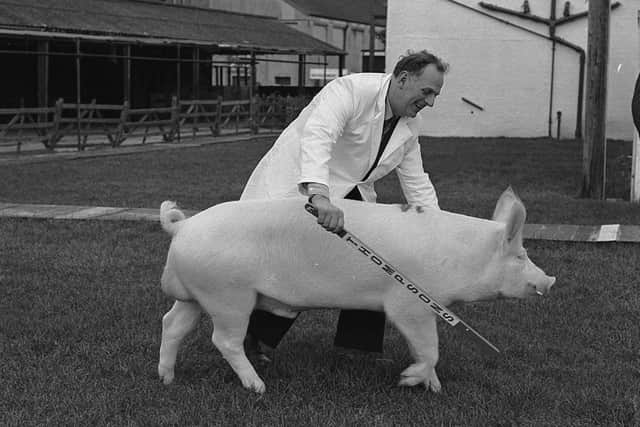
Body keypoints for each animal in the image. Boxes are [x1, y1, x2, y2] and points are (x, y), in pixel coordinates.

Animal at [156, 187, 556, 394]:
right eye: (521, 255)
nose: (549, 280)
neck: (459, 258)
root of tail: (183, 227)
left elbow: (421, 349)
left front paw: (434, 388)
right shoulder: (409, 303)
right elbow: (430, 349)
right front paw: (408, 380)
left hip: (195, 294)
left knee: (171, 324)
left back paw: (167, 378)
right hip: (229, 295)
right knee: (223, 340)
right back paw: (258, 386)